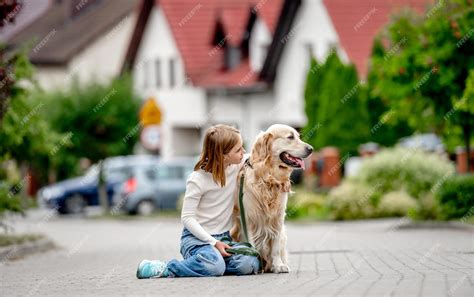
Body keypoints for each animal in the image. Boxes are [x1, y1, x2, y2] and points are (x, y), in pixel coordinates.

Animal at [231, 123, 312, 272]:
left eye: (299, 136)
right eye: (290, 137)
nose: (311, 149)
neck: (268, 178)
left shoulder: (277, 218)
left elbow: (275, 247)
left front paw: (278, 265)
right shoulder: (250, 218)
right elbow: (252, 243)